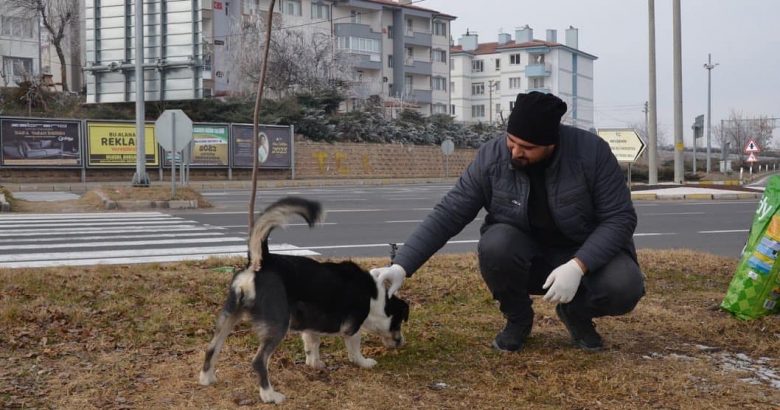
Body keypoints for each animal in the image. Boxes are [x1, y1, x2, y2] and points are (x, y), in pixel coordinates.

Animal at [198, 196, 412, 404]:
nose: (402, 342)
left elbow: (312, 345)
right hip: (278, 325)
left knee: (211, 348)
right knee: (258, 361)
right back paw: (269, 396)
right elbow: (355, 351)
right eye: (399, 322)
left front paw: (315, 364)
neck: (376, 297)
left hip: (229, 316)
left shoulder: (311, 326)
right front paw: (365, 362)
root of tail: (260, 262)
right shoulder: (352, 328)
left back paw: (206, 378)